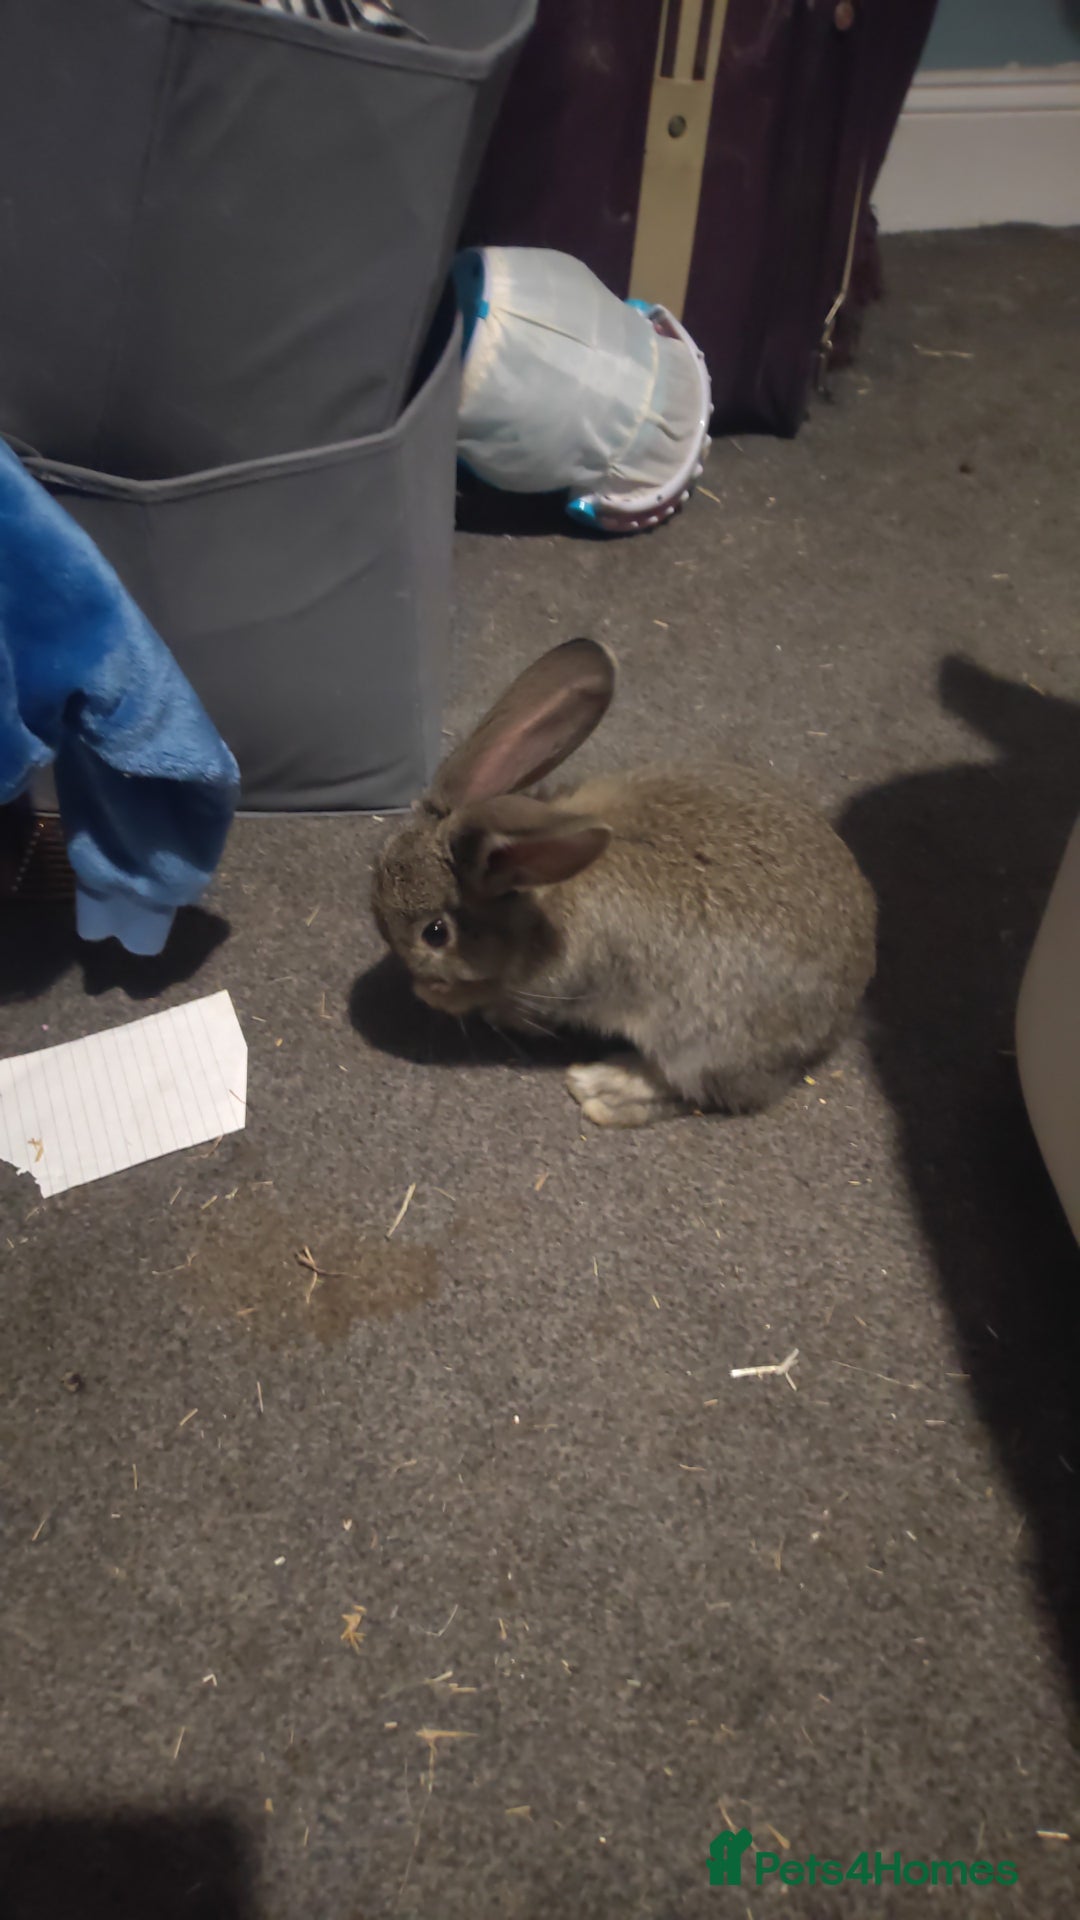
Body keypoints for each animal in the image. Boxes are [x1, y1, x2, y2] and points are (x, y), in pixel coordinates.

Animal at [371, 638, 876, 1127]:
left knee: (705, 1094)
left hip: (696, 1044)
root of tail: (836, 1024)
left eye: (436, 934)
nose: (421, 991)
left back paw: (604, 1090)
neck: (537, 899)